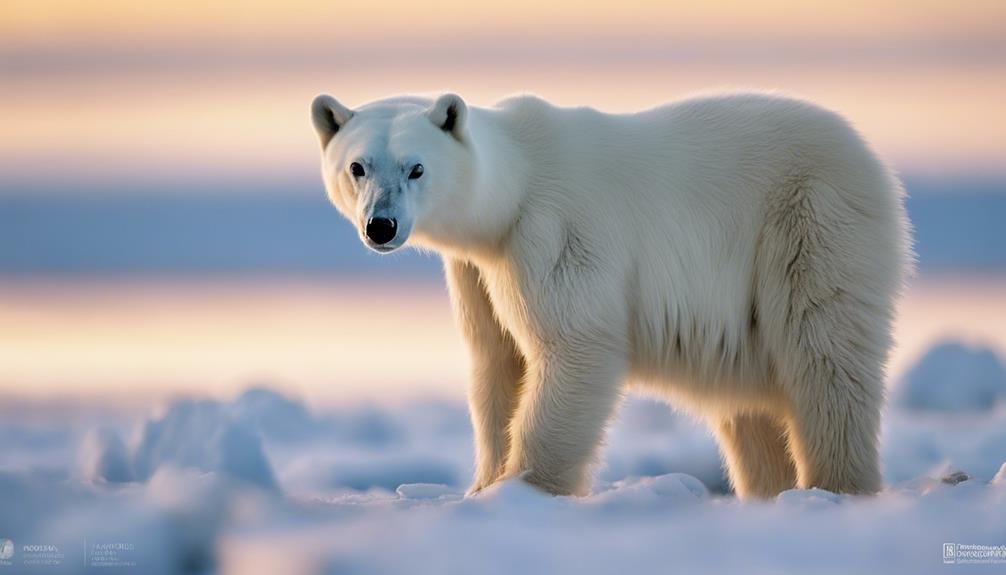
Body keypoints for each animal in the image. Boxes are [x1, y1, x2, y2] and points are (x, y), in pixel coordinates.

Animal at [307, 89, 913, 498]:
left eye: (416, 168)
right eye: (357, 167)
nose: (380, 226)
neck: (514, 186)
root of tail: (869, 156)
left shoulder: (555, 230)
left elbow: (574, 346)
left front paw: (525, 489)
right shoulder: (477, 269)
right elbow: (497, 362)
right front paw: (482, 488)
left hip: (812, 221)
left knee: (824, 355)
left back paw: (836, 484)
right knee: (752, 409)